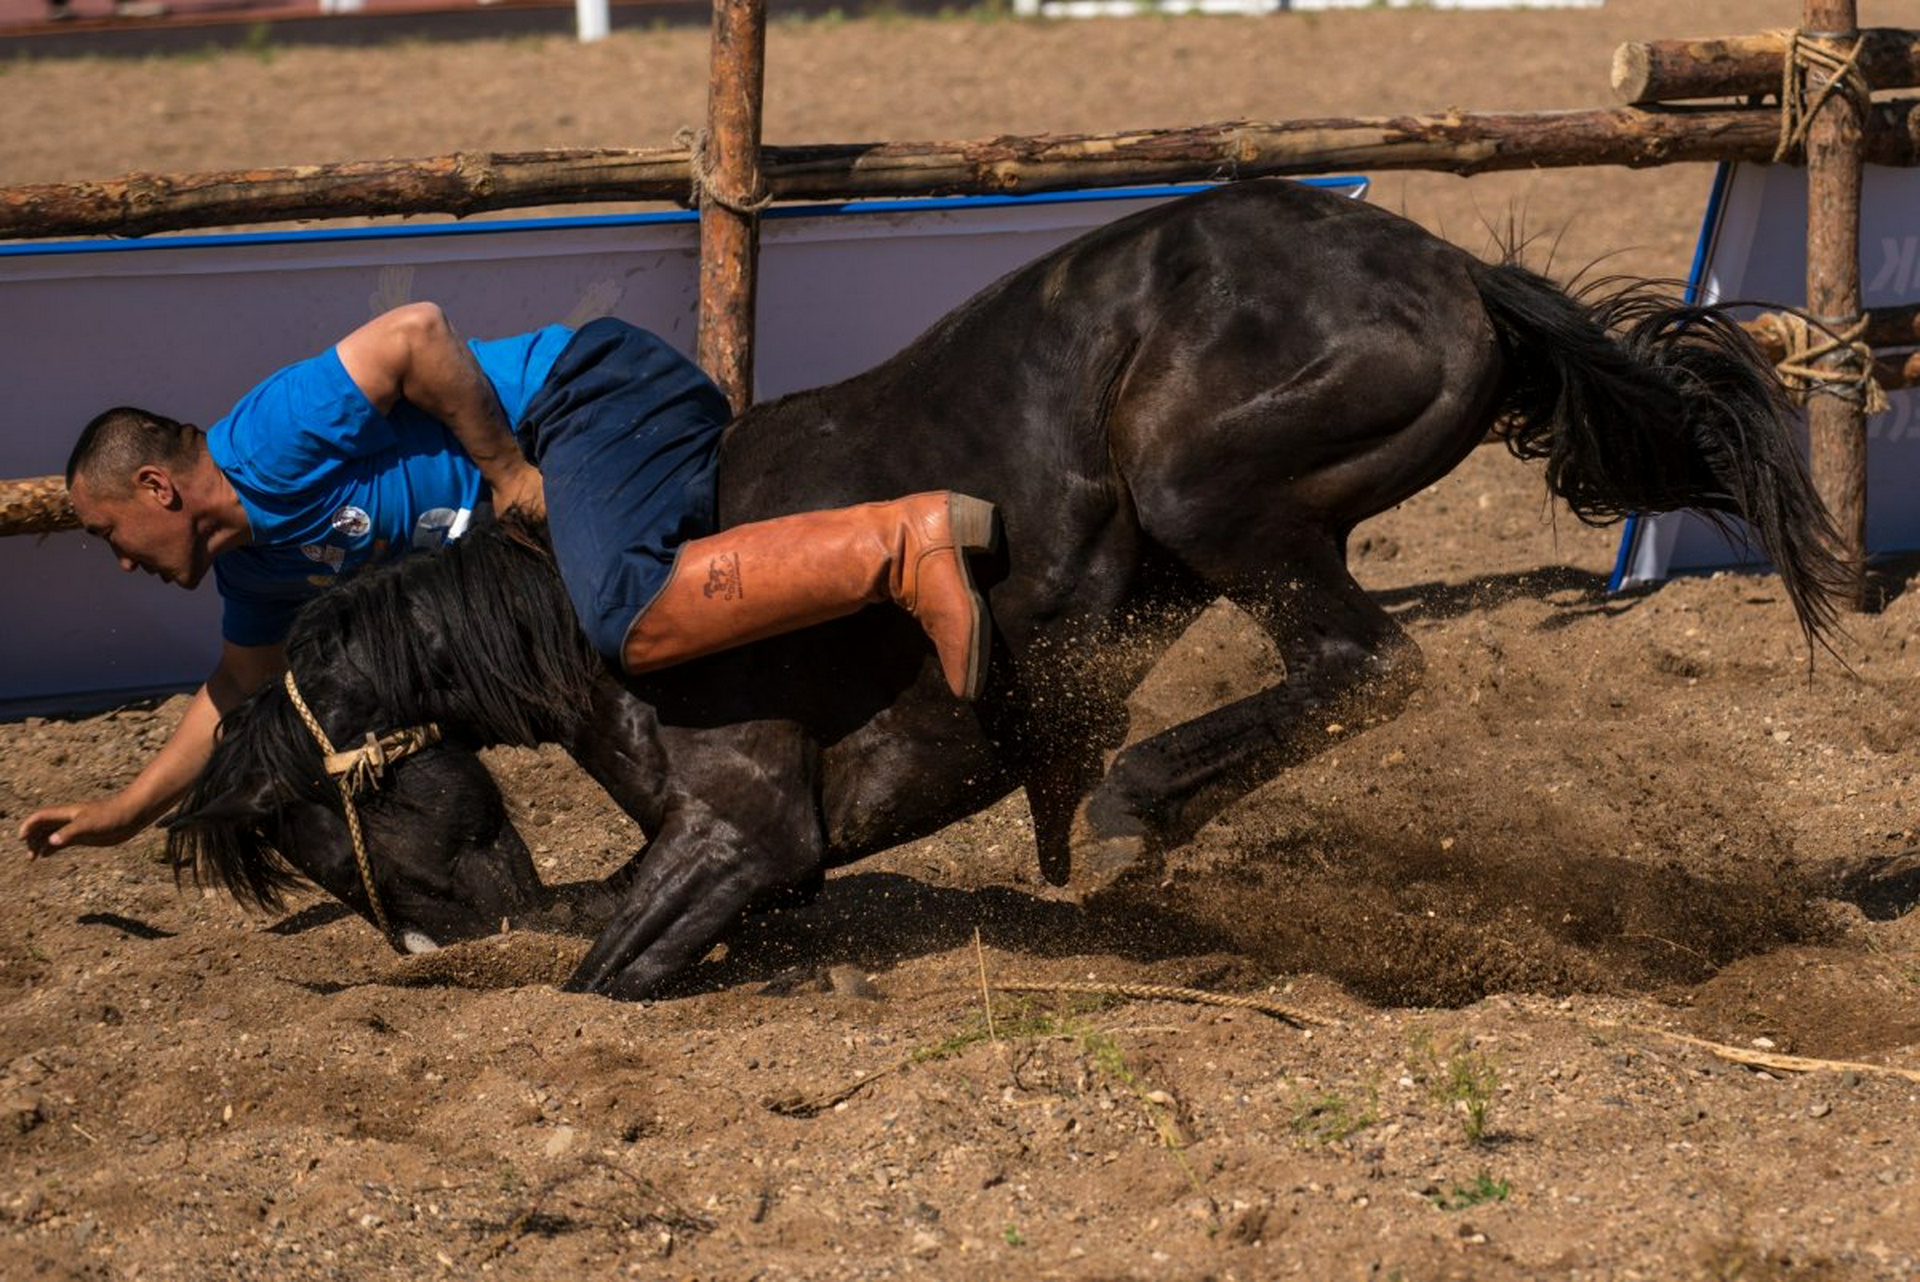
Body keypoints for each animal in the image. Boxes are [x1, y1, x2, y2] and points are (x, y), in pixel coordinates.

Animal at [165, 177, 1843, 997]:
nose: (440, 945)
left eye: (314, 817)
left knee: (1369, 665)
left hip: (1207, 493)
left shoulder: (750, 830)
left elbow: (607, 966)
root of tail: (1446, 269)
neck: (580, 621)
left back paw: (1132, 799)